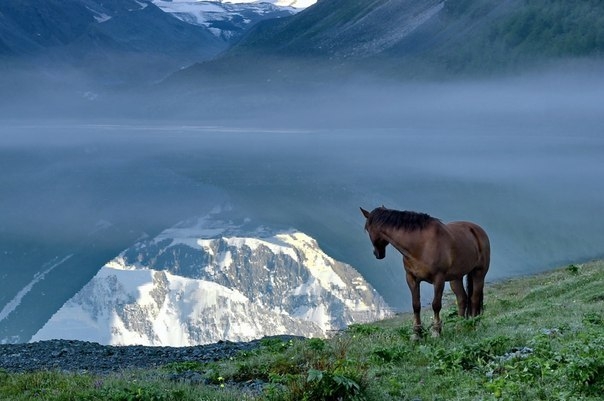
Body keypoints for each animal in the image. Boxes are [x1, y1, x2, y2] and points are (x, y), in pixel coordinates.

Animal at [358, 205, 490, 340]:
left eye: (367, 229)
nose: (377, 254)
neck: (420, 245)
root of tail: (477, 230)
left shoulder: (439, 279)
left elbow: (436, 305)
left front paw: (436, 331)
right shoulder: (411, 278)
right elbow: (416, 305)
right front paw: (417, 333)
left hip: (479, 273)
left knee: (474, 298)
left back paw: (473, 324)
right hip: (456, 278)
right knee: (462, 299)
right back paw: (460, 326)